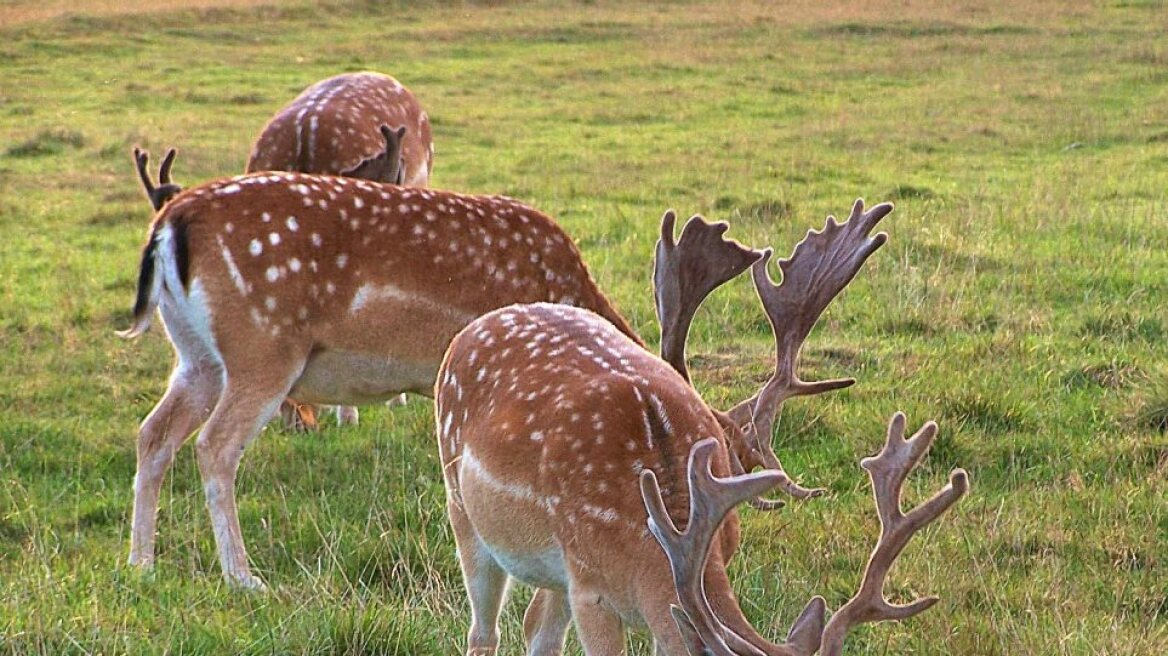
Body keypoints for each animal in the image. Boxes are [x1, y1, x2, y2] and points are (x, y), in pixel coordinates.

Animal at [120, 169, 649, 588]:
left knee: (153, 433)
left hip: (197, 357)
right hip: (263, 347)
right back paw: (243, 578)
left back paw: (141, 565)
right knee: (215, 445)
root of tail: (169, 223)